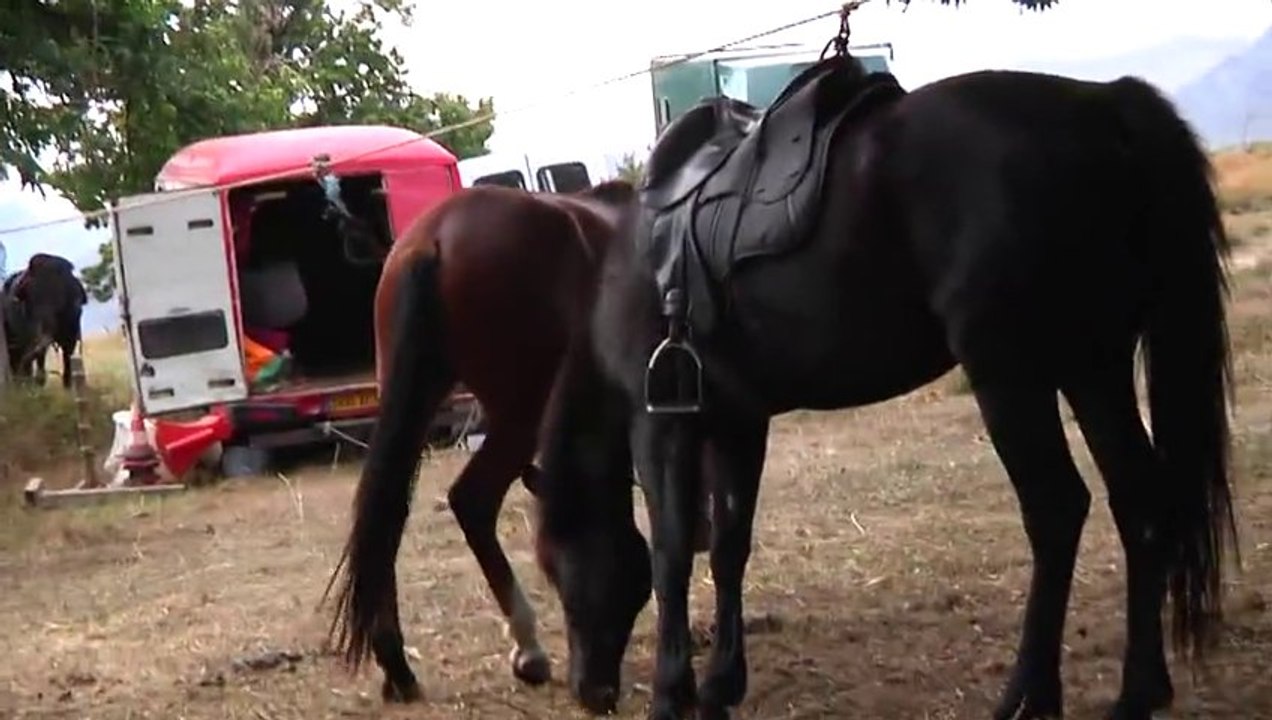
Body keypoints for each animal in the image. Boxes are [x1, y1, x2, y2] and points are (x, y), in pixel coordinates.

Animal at [321, 179, 711, 703]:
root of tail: (433, 240)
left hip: (413, 402)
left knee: (386, 513)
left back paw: (398, 666)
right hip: (518, 414)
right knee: (471, 499)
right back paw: (526, 645)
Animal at [531, 48, 1240, 720]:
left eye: (558, 564)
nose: (590, 690)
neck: (640, 262)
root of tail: (1104, 104)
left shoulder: (661, 424)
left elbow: (673, 552)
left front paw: (670, 692)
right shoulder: (738, 421)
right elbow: (730, 545)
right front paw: (719, 687)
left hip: (1009, 373)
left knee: (1056, 509)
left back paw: (1027, 694)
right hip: (1093, 365)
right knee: (1139, 501)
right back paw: (1137, 691)